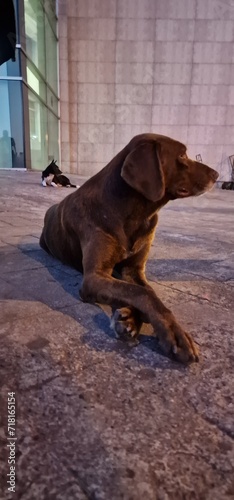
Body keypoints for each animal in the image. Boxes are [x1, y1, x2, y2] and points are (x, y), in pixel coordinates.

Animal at [40, 135, 219, 364]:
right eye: (182, 155)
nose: (216, 174)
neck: (133, 213)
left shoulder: (134, 270)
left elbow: (144, 290)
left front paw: (131, 318)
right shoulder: (94, 276)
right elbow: (142, 293)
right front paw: (173, 334)